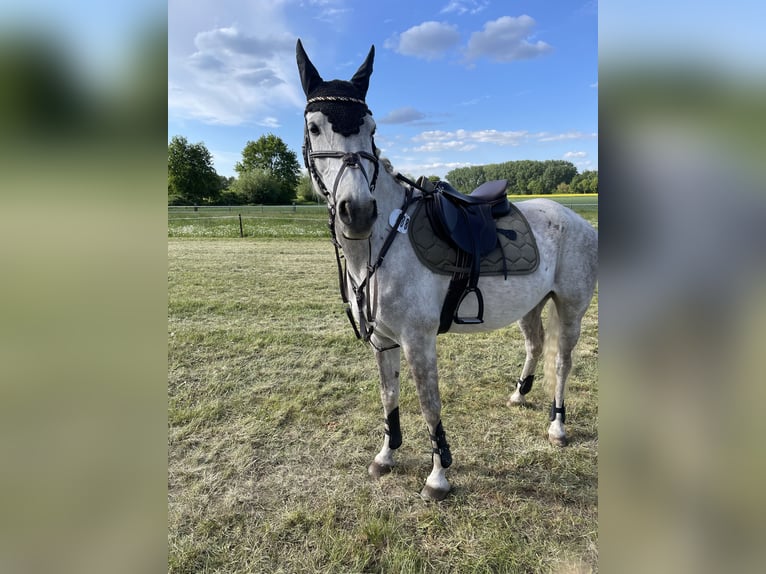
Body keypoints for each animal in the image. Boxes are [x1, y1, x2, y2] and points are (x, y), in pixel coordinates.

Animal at [296, 40, 598, 501]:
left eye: (371, 128)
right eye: (314, 127)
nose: (358, 212)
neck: (384, 243)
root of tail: (577, 220)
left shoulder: (418, 340)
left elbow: (428, 403)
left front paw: (438, 475)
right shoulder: (383, 340)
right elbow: (389, 396)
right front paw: (386, 454)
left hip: (570, 309)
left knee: (562, 363)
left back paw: (557, 425)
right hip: (530, 305)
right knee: (535, 345)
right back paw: (519, 394)